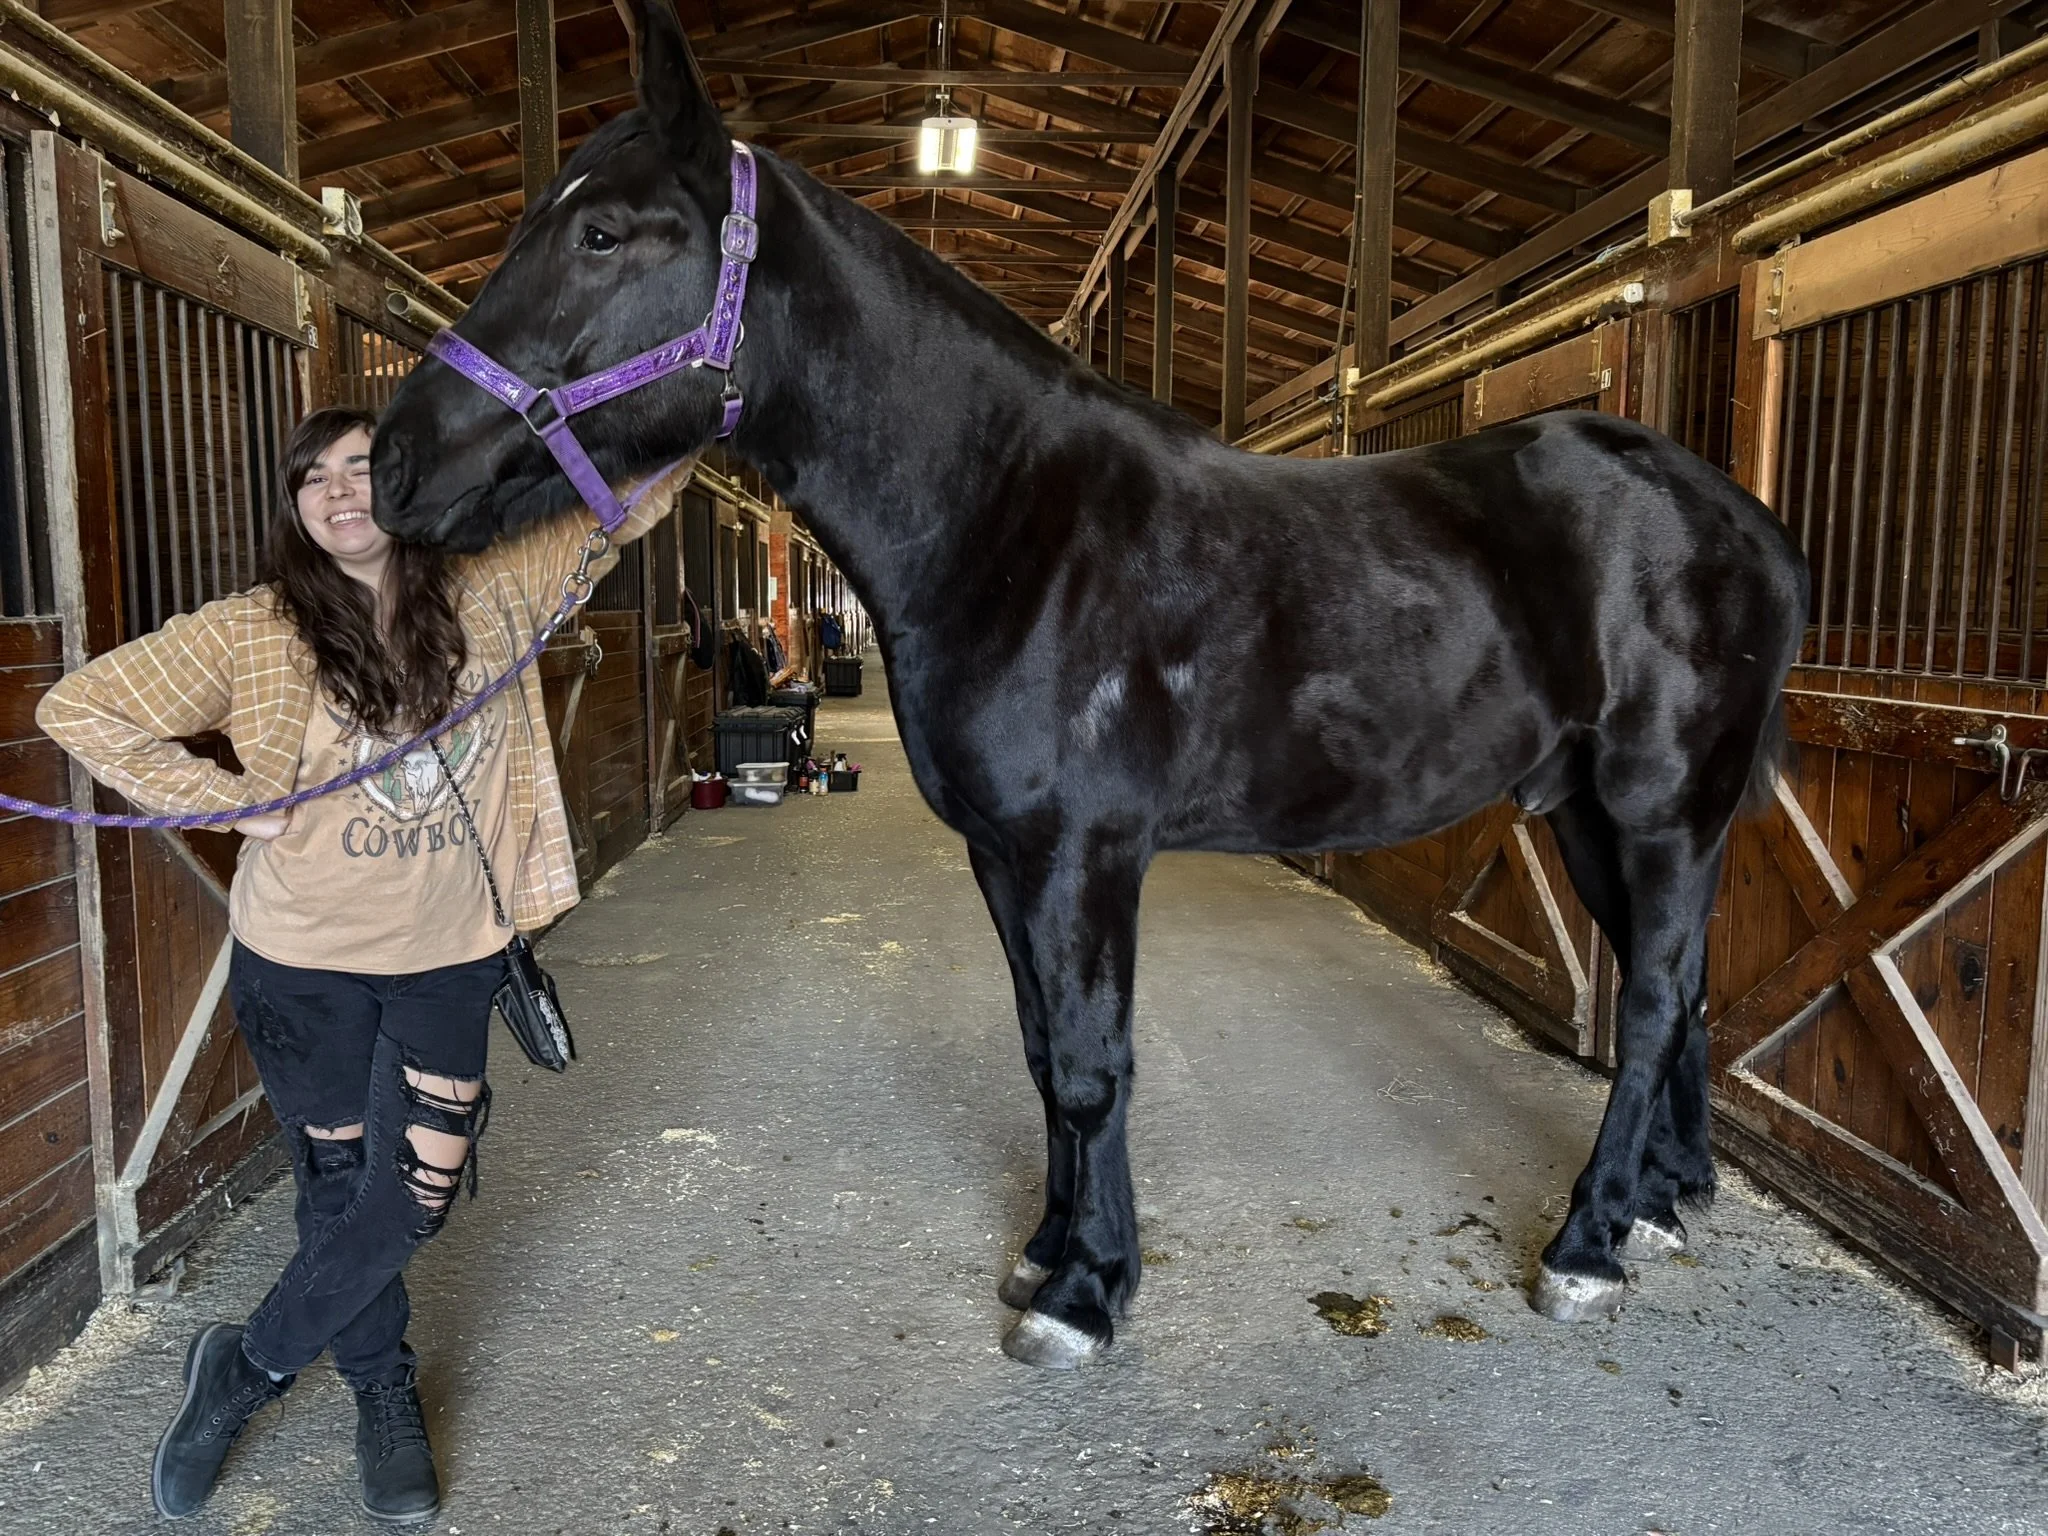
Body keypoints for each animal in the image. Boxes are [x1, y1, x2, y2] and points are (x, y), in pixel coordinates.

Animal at [371, 0, 1810, 1370]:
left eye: (602, 234)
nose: (391, 462)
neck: (1013, 520)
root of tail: (1739, 518)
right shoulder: (1005, 855)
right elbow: (1037, 1046)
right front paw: (1050, 1251)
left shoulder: (1084, 853)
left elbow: (1087, 1063)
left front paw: (1084, 1292)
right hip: (1588, 813)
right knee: (1672, 991)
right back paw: (1661, 1204)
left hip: (1663, 806)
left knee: (1657, 1001)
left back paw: (1586, 1244)